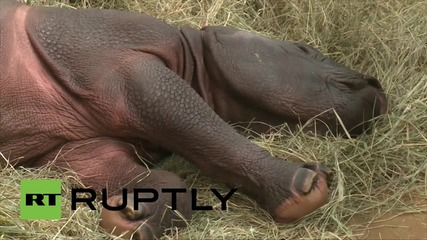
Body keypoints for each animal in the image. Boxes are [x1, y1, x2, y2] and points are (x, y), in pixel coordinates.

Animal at [0, 0, 388, 239]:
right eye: (304, 49)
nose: (375, 84)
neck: (195, 58)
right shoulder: (119, 64)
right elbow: (202, 127)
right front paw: (308, 187)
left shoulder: (75, 144)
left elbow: (115, 167)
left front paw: (130, 218)